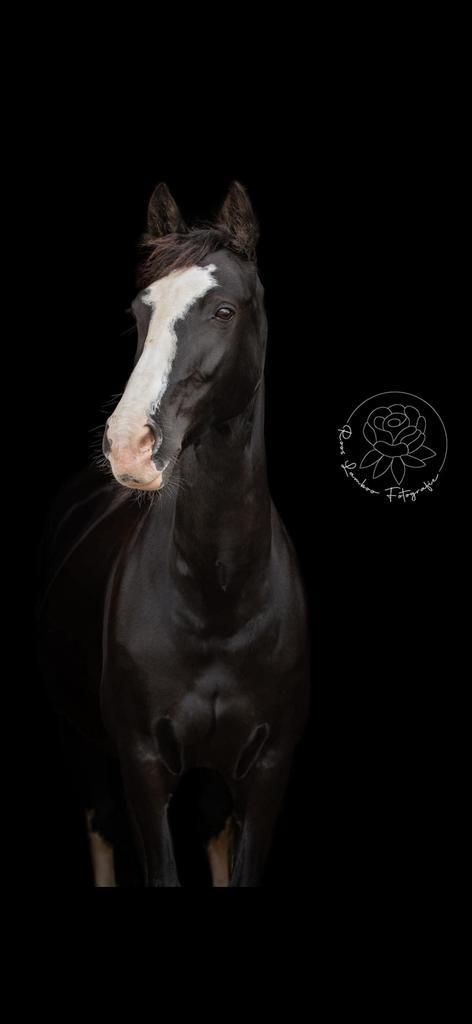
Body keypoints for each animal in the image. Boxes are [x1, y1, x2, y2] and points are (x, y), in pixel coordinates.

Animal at [36, 181, 310, 886]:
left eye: (223, 309)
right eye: (140, 310)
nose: (129, 446)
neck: (219, 597)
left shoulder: (268, 773)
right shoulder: (142, 766)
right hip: (79, 742)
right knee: (99, 829)